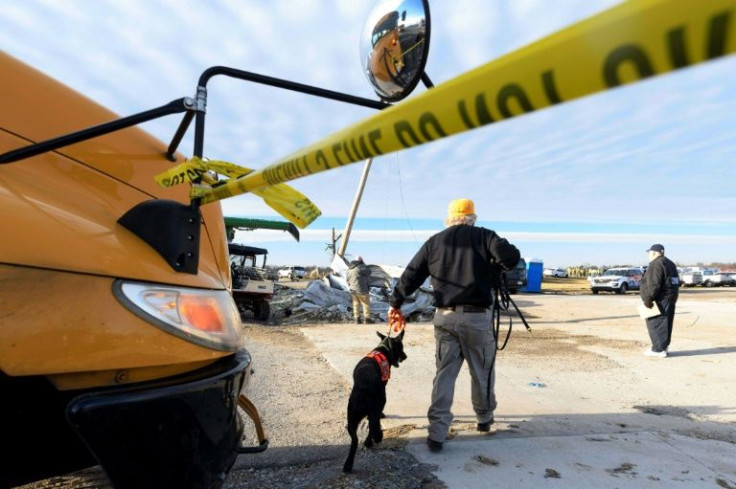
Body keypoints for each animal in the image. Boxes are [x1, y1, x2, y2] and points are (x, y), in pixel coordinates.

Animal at [342, 330, 406, 470]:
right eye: (401, 347)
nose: (405, 356)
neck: (383, 348)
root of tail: (365, 388)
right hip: (379, 404)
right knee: (373, 425)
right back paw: (370, 441)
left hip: (352, 418)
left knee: (355, 440)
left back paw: (348, 464)